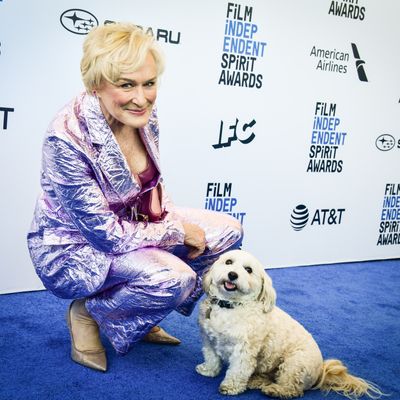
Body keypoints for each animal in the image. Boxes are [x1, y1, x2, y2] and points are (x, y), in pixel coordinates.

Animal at [195, 250, 382, 396]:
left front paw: (230, 387)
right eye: (228, 262)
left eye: (248, 270)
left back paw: (275, 390)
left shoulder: (244, 350)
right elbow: (212, 358)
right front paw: (208, 371)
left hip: (294, 364)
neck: (230, 306)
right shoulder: (209, 340)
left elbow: (238, 370)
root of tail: (321, 369)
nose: (233, 275)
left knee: (293, 389)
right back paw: (256, 381)